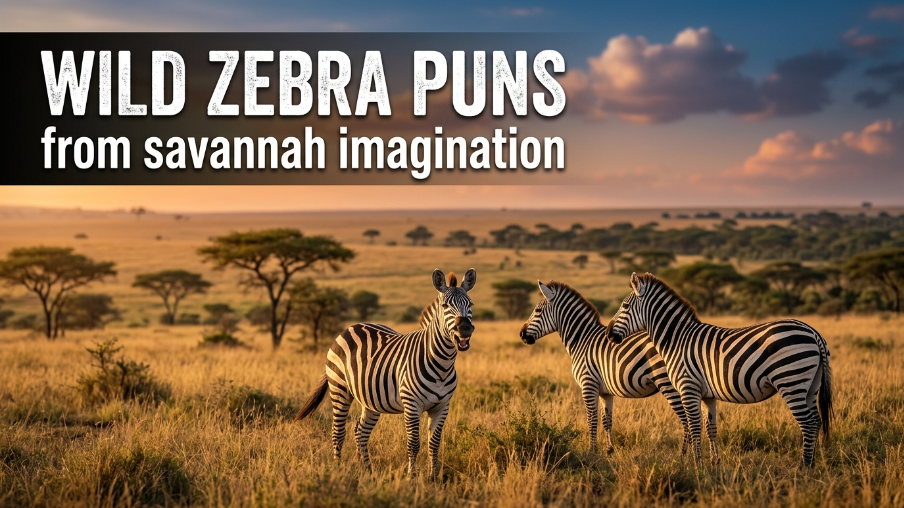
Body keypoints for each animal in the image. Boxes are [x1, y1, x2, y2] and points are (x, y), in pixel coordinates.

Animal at [295, 268, 476, 478]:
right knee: (338, 432)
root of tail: (351, 326)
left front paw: (433, 478)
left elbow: (434, 444)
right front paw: (412, 477)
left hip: (371, 400)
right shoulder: (412, 405)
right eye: (445, 305)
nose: (465, 328)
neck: (442, 364)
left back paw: (367, 470)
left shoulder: (442, 407)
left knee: (360, 431)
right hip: (339, 389)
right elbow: (413, 444)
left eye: (470, 304)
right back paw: (337, 470)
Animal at [519, 280, 689, 454]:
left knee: (686, 418)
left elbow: (592, 419)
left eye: (538, 311)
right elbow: (607, 420)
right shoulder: (605, 392)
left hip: (668, 383)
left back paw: (684, 454)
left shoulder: (588, 384)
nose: (521, 334)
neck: (582, 340)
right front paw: (609, 450)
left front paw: (591, 451)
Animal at [605, 272, 833, 467]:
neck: (677, 339)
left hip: (790, 380)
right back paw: (812, 464)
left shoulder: (688, 387)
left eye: (625, 305)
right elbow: (710, 428)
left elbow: (695, 427)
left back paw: (804, 467)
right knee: (816, 421)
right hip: (810, 385)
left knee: (808, 423)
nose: (608, 334)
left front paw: (697, 465)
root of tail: (813, 332)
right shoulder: (708, 394)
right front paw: (714, 463)